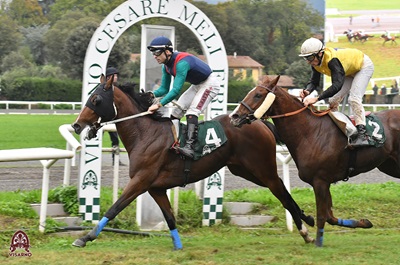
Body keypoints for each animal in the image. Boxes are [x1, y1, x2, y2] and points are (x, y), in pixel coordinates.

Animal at [71, 75, 316, 250]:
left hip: (262, 168)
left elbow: (115, 207)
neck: (145, 133)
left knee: (281, 191)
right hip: (244, 170)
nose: (76, 125)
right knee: (282, 190)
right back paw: (307, 219)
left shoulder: (141, 180)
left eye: (96, 100)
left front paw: (85, 237)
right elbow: (170, 218)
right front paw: (178, 245)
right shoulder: (156, 188)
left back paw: (305, 230)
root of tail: (258, 122)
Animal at [230, 75, 400, 246]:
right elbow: (330, 216)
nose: (234, 116)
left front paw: (317, 242)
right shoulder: (323, 182)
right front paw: (364, 223)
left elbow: (322, 216)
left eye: (258, 95)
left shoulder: (320, 181)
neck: (310, 132)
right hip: (389, 166)